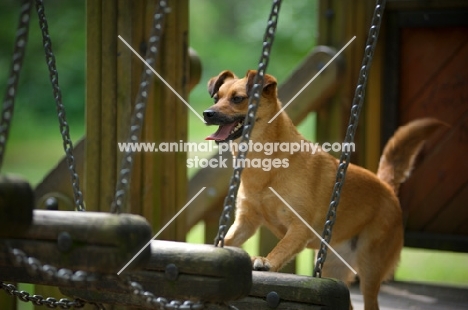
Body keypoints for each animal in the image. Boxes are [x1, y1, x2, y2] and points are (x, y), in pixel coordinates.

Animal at [203, 69, 444, 308]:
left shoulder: (299, 228)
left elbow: (282, 246)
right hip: (334, 269)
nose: (207, 113)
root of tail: (387, 187)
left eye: (238, 99)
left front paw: (266, 261)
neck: (266, 165)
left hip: (370, 270)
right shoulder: (246, 222)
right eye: (216, 98)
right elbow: (227, 239)